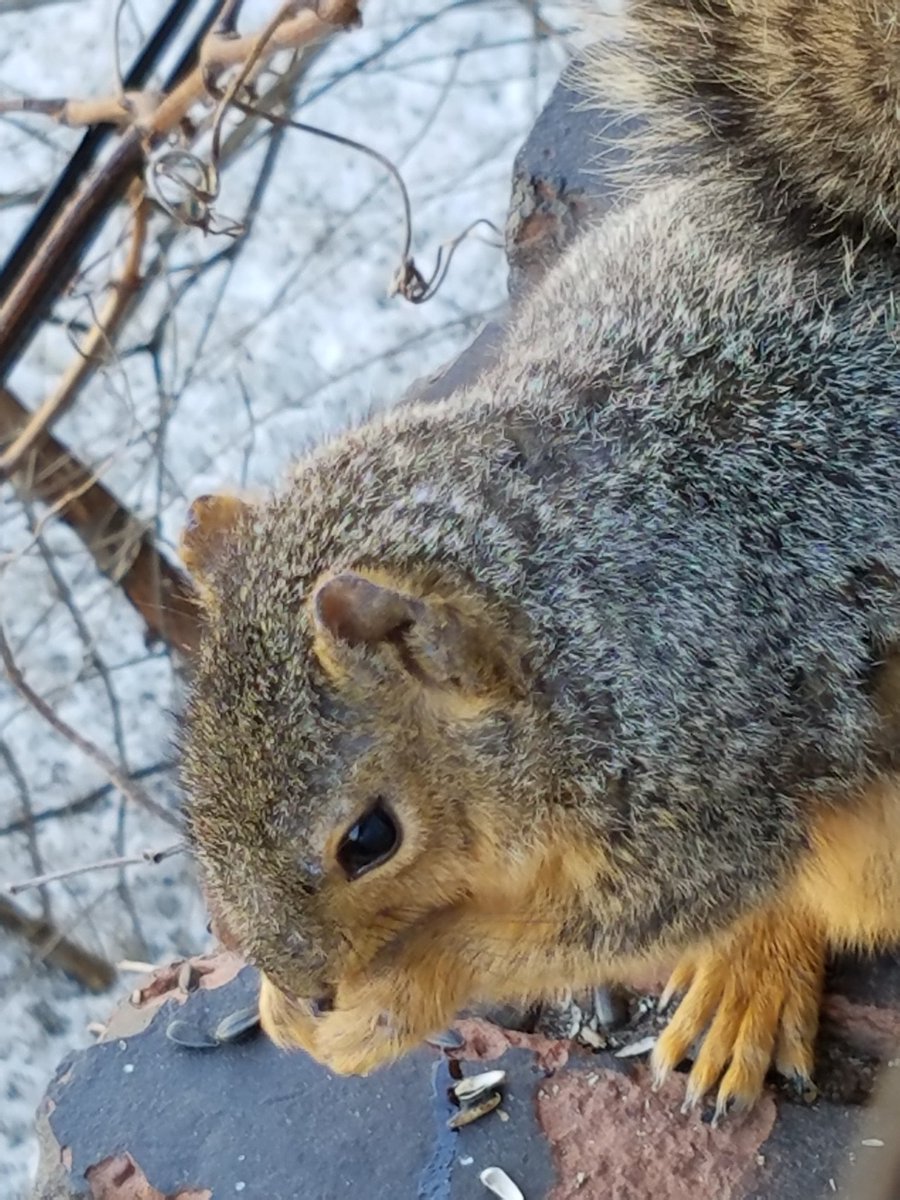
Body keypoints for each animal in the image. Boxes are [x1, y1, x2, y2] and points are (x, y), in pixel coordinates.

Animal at [179, 0, 900, 1120]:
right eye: (195, 798)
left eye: (369, 839)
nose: (306, 982)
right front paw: (281, 1007)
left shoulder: (691, 781)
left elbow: (592, 928)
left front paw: (388, 1003)